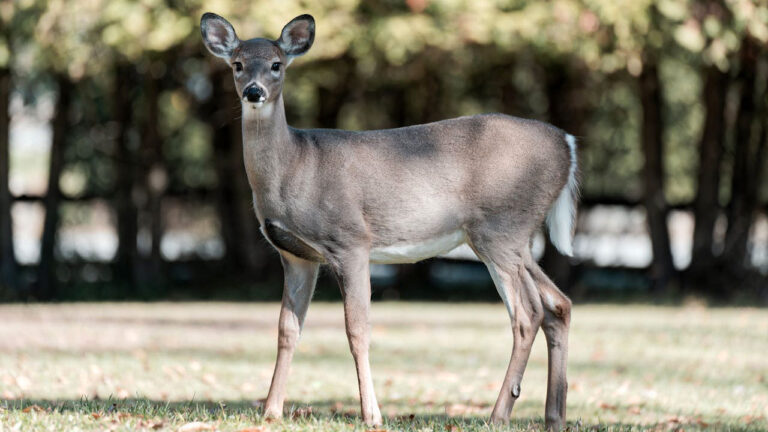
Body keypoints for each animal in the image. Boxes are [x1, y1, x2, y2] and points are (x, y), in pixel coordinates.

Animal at [201, 12, 578, 431]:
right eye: (237, 64)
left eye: (276, 64)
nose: (253, 92)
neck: (296, 165)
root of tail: (568, 144)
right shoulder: (296, 256)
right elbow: (288, 329)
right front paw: (271, 410)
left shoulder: (350, 240)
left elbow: (357, 329)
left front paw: (372, 415)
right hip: (514, 237)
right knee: (558, 304)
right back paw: (554, 415)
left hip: (500, 228)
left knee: (528, 313)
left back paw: (498, 415)